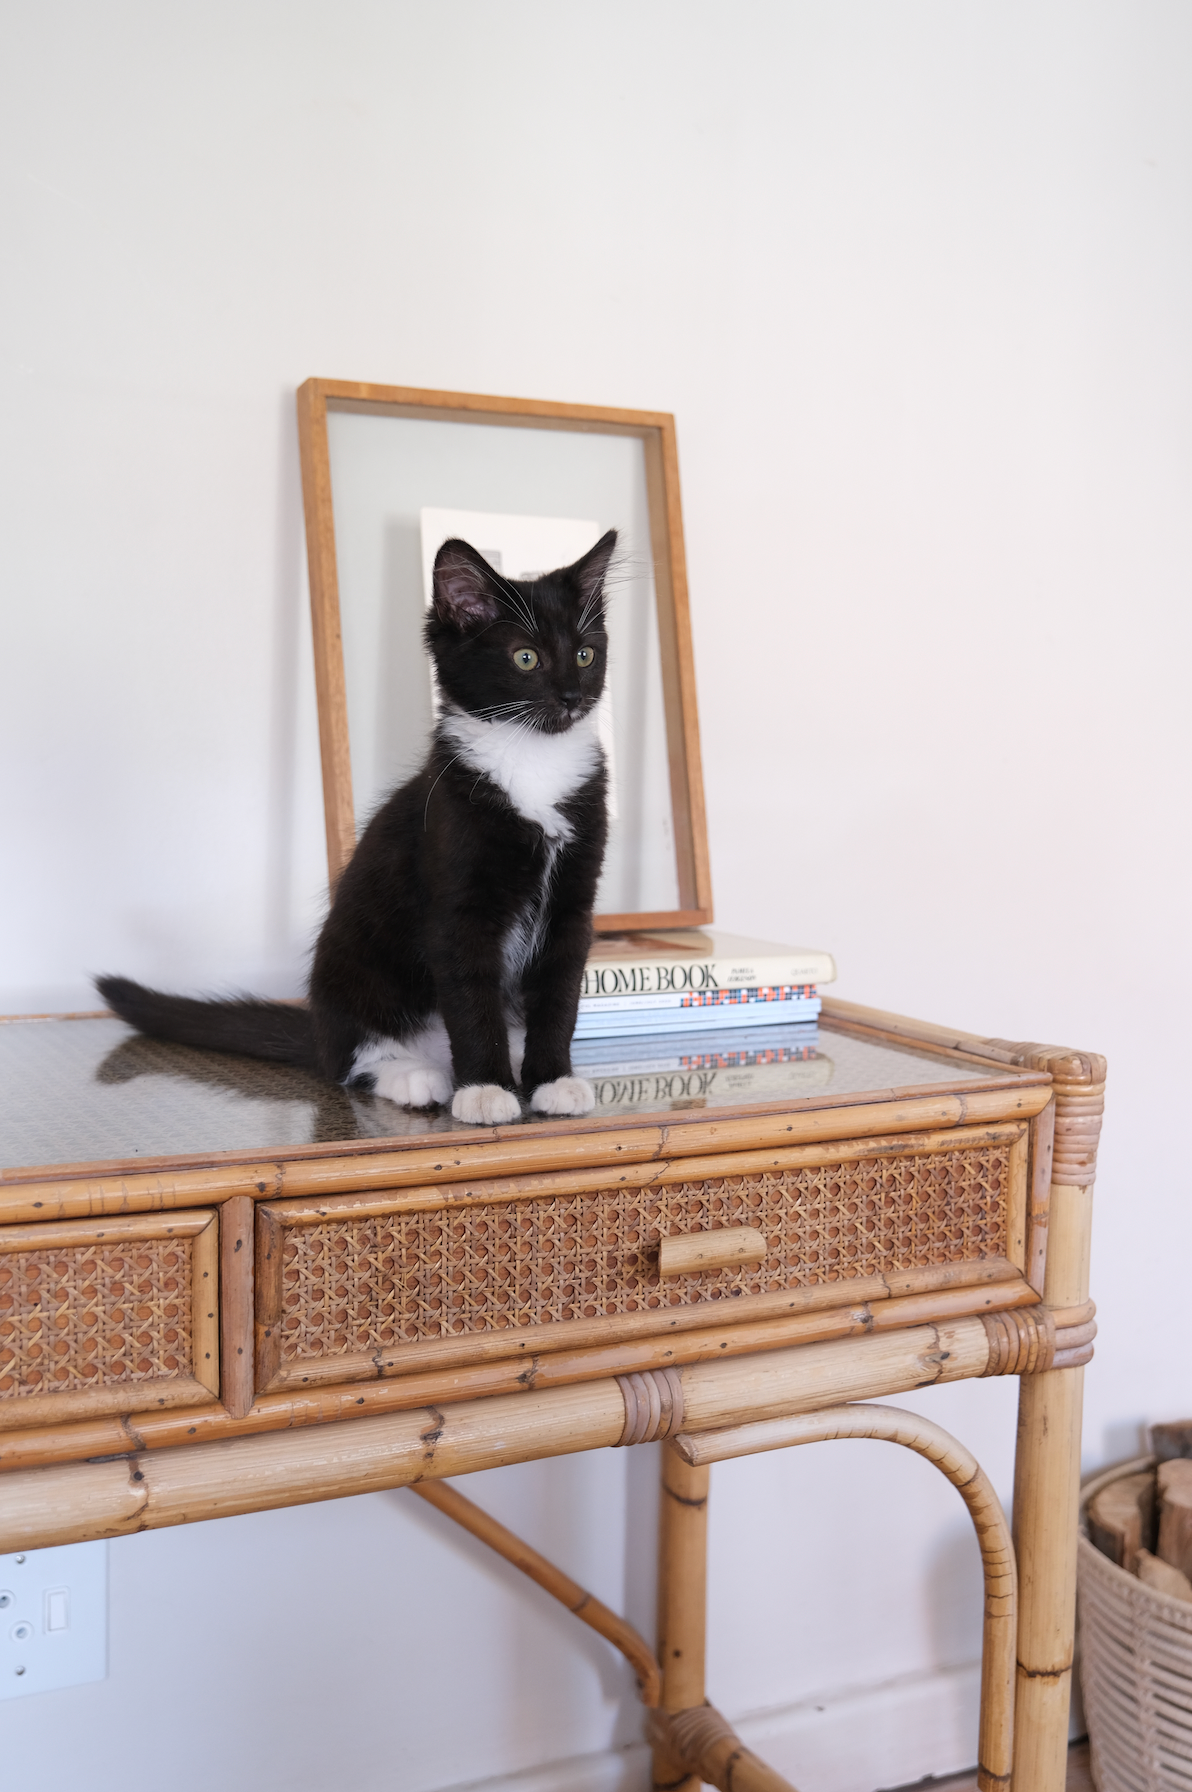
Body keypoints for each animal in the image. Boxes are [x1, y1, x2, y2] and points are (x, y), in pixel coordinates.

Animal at [98, 523, 613, 1125]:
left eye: (585, 653)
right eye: (526, 657)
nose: (573, 697)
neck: (532, 762)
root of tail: (318, 1031)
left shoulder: (574, 901)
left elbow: (560, 993)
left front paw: (552, 1079)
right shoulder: (455, 897)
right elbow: (469, 995)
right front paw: (485, 1088)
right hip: (350, 970)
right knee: (347, 1062)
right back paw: (416, 1076)